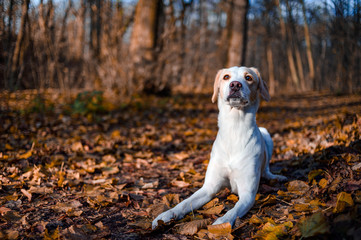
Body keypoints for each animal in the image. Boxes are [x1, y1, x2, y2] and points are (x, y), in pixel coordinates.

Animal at [151, 65, 284, 229]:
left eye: (248, 78)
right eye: (226, 77)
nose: (235, 84)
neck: (235, 128)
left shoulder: (248, 194)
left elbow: (234, 210)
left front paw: (221, 222)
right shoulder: (209, 187)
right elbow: (185, 203)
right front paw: (166, 214)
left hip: (266, 134)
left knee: (266, 169)